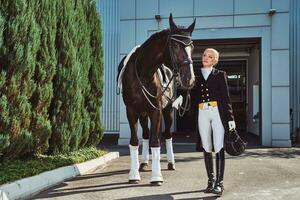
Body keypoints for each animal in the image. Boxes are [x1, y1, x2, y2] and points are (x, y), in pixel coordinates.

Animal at [117, 14, 197, 186]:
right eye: (175, 45)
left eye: (192, 46)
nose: (189, 79)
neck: (142, 74)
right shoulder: (131, 111)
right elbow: (135, 141)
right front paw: (133, 175)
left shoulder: (157, 110)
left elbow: (156, 141)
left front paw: (156, 177)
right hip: (143, 114)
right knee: (146, 134)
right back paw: (144, 163)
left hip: (168, 112)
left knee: (167, 135)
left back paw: (171, 163)